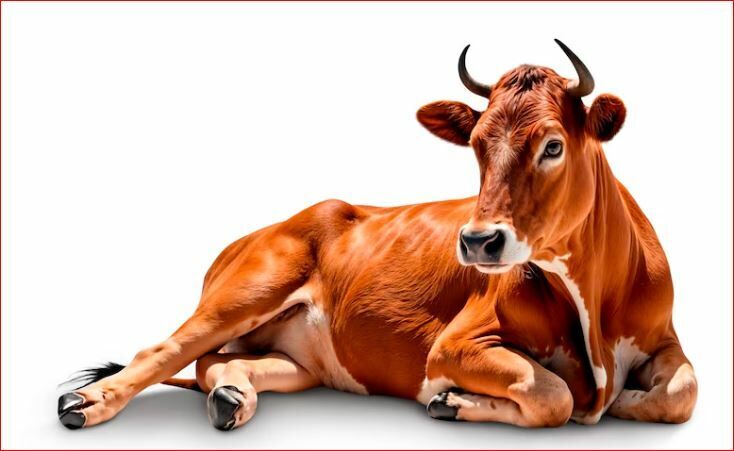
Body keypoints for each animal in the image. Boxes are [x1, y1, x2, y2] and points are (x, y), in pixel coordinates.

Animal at [58, 40, 697, 431]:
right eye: (475, 144)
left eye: (554, 145)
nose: (478, 242)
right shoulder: (456, 344)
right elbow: (554, 395)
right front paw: (454, 401)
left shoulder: (664, 339)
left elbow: (681, 393)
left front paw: (631, 399)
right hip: (247, 290)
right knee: (164, 351)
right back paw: (85, 404)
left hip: (302, 359)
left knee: (221, 363)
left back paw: (232, 396)